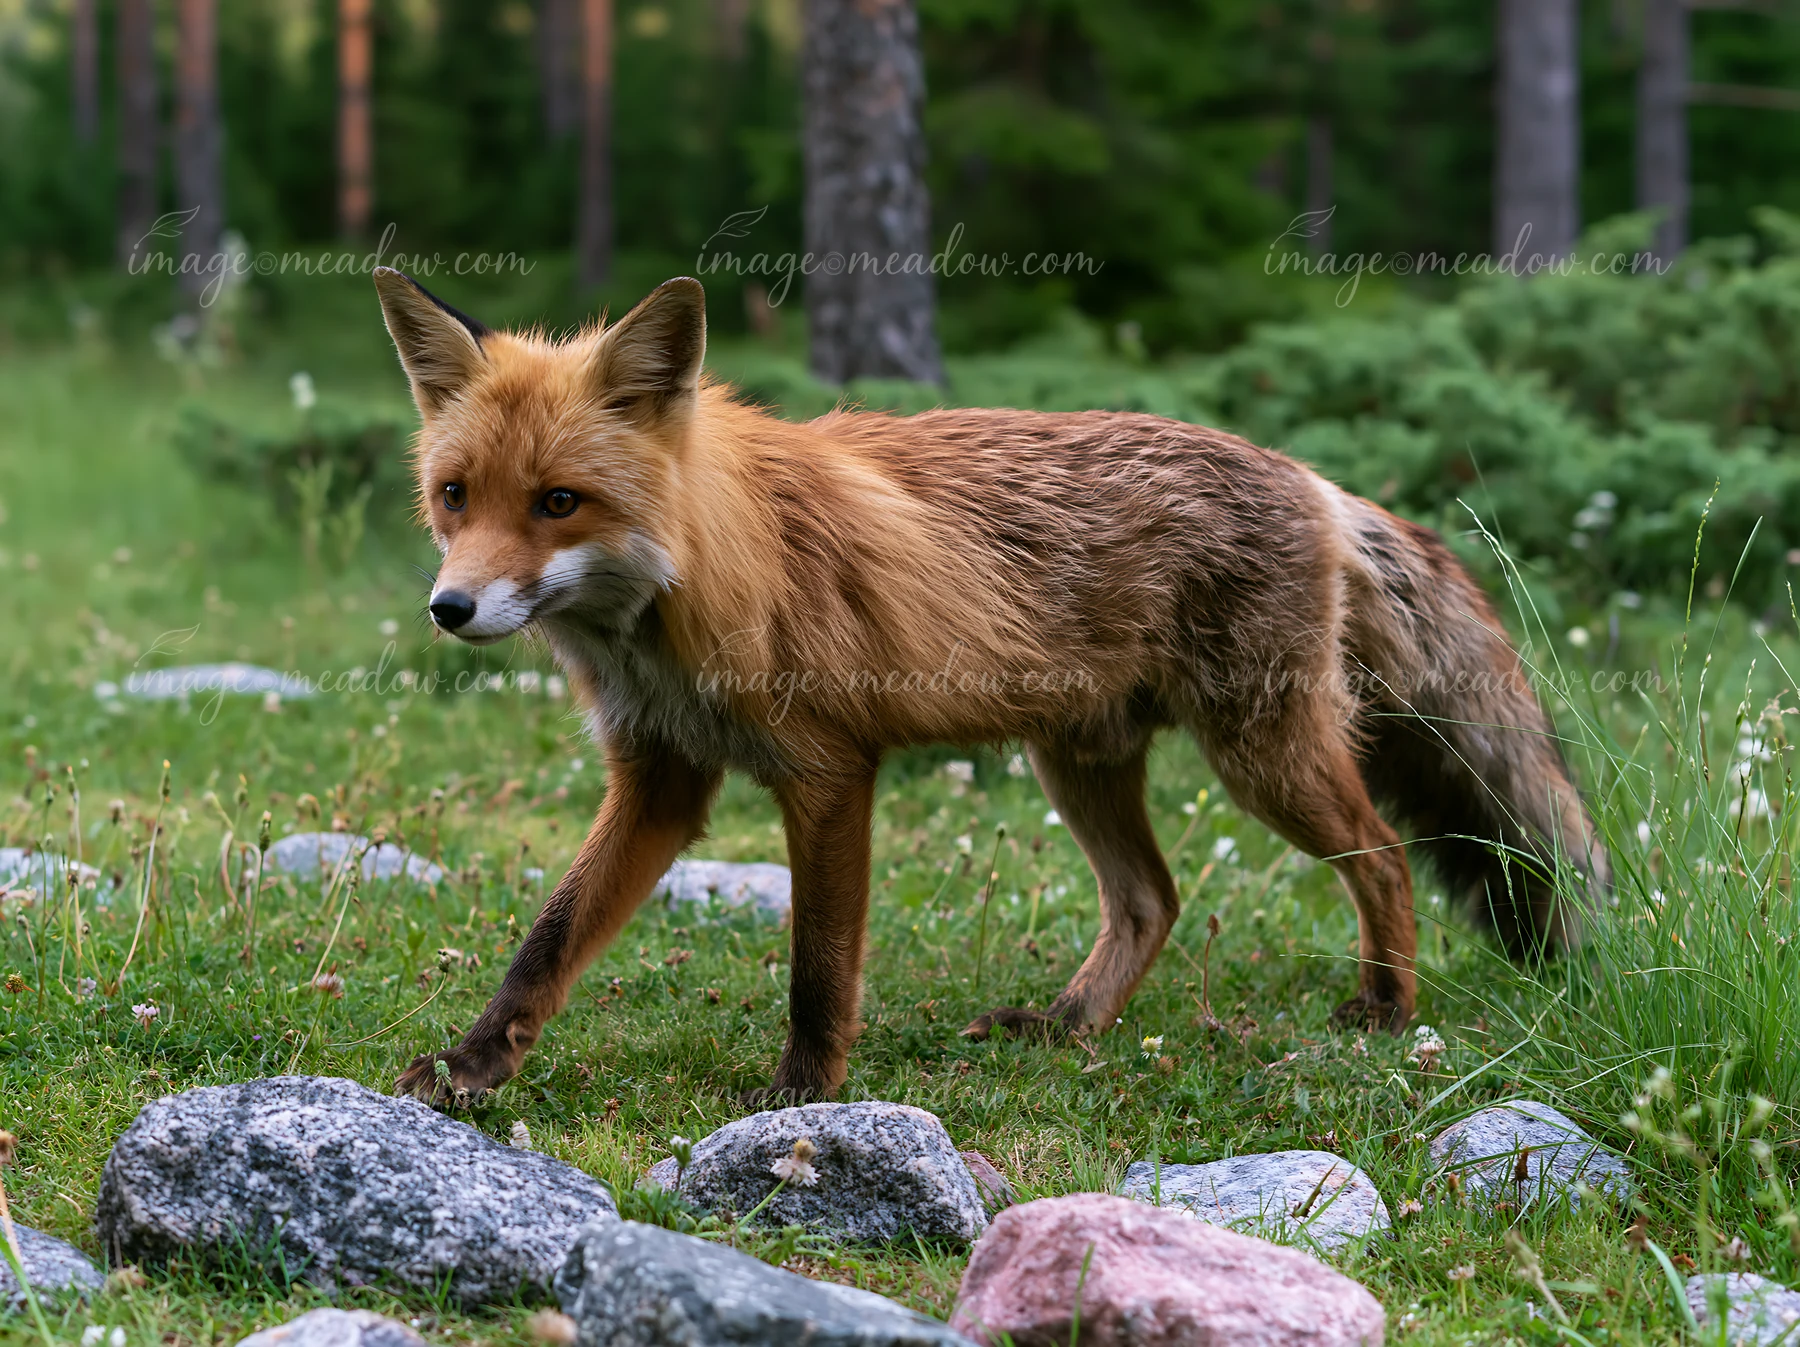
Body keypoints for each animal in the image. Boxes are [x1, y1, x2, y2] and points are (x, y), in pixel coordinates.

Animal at [373, 266, 1608, 1108]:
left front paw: (804, 1094)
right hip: (1081, 760)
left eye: (559, 503)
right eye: (454, 495)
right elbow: (548, 937)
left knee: (1384, 857)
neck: (691, 596)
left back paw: (1388, 1011)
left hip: (1262, 757)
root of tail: (1313, 478)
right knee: (1154, 900)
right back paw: (1067, 1026)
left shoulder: (830, 772)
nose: (450, 608)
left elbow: (819, 968)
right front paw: (476, 1064)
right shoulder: (660, 779)